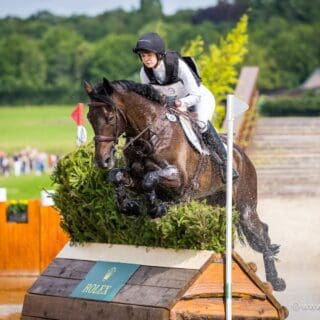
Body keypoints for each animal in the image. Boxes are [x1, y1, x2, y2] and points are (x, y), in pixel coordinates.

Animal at [84, 78, 286, 292]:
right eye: (89, 117)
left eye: (110, 118)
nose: (102, 160)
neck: (151, 135)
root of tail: (242, 154)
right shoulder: (134, 177)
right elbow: (117, 176)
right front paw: (129, 206)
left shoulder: (178, 179)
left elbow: (150, 179)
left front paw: (156, 207)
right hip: (216, 202)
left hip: (244, 206)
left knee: (260, 231)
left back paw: (276, 281)